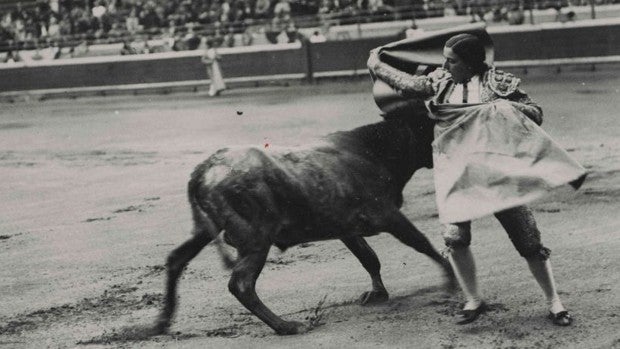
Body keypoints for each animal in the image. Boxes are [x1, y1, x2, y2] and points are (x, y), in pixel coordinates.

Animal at [153, 103, 458, 334]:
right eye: (430, 127)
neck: (374, 152)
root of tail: (204, 169)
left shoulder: (346, 226)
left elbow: (369, 257)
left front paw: (377, 294)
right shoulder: (387, 214)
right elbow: (421, 242)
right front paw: (452, 280)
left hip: (207, 231)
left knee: (177, 259)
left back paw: (161, 323)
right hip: (256, 238)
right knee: (241, 284)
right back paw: (287, 326)